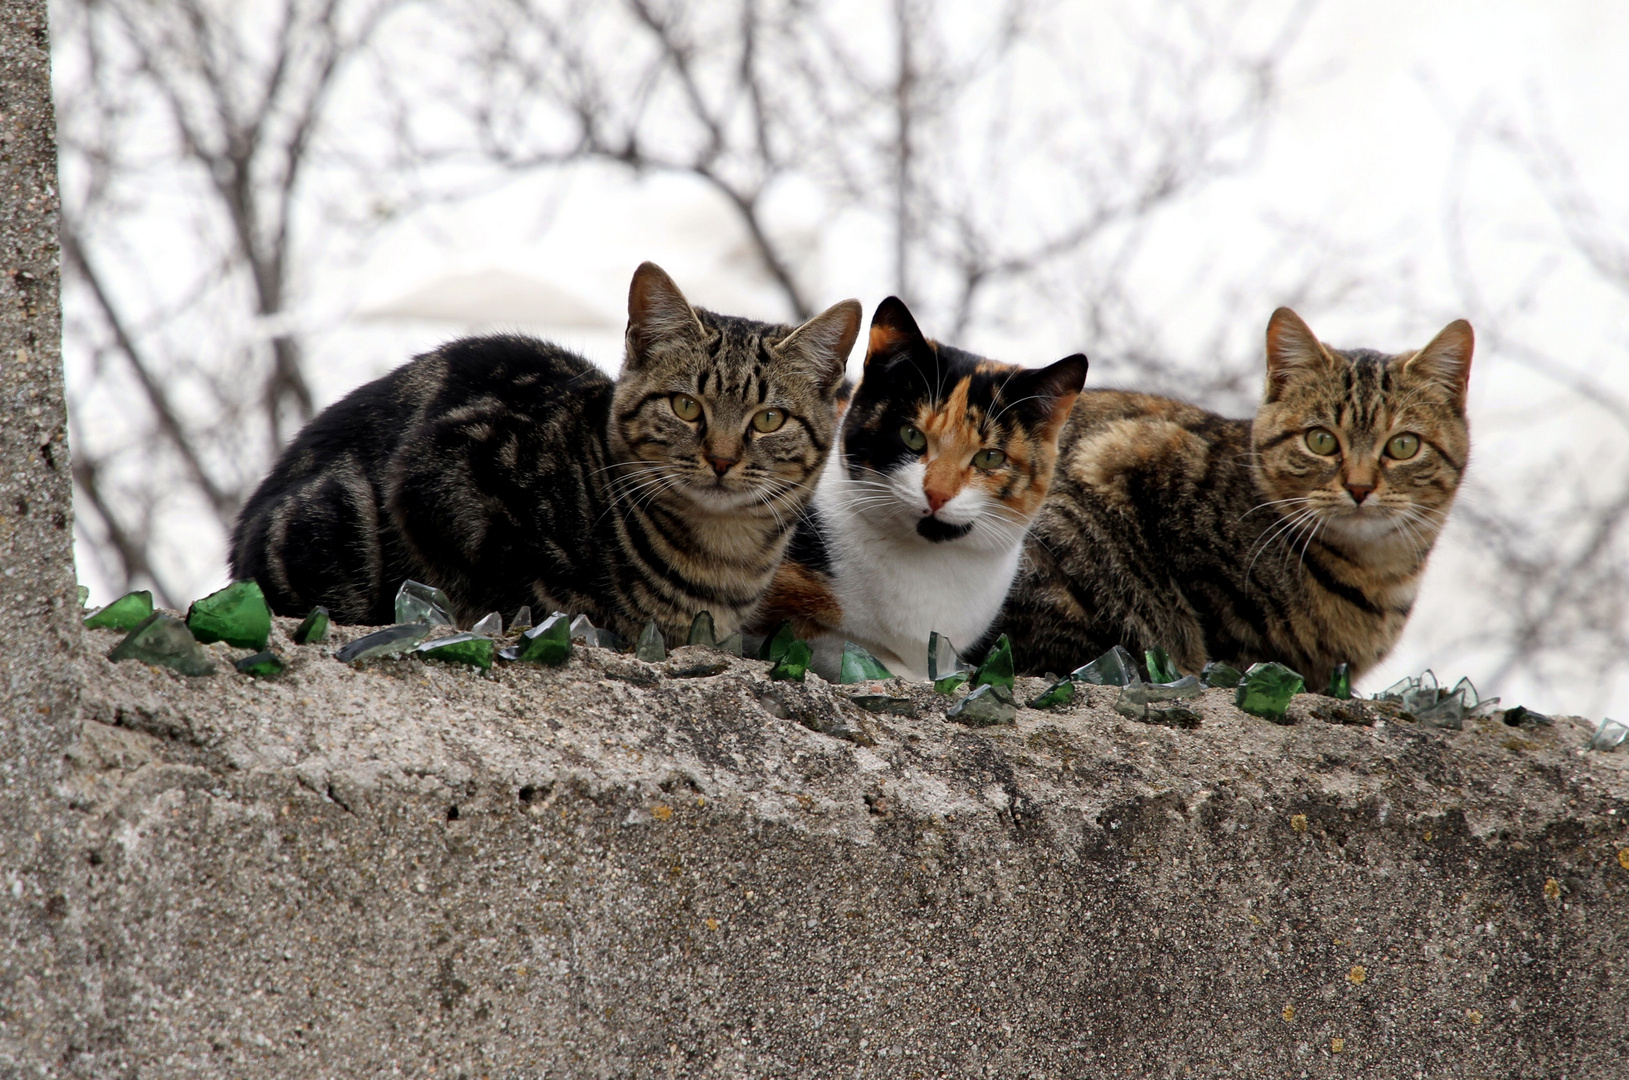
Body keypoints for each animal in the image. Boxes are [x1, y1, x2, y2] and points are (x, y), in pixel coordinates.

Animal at [234, 262, 866, 641]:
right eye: (686, 407)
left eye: (769, 419)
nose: (721, 458)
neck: (722, 563)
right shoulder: (445, 476)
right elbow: (523, 596)